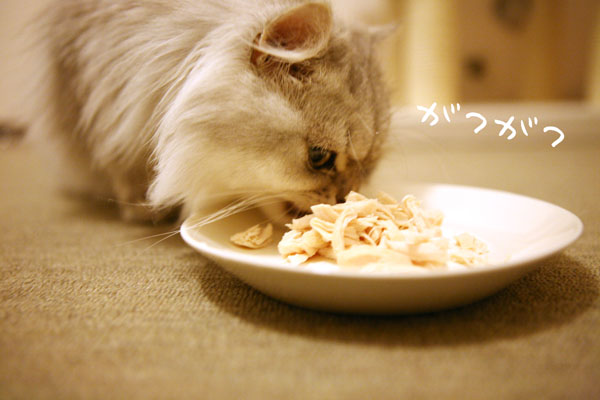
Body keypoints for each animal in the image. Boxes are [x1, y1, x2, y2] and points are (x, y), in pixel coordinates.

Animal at [29, 0, 391, 225]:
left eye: (370, 167)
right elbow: (118, 159)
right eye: (318, 158)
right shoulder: (92, 89)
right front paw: (143, 207)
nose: (344, 199)